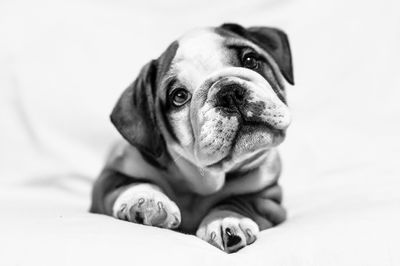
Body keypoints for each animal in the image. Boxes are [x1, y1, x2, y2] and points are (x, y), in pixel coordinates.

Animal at [90, 23, 294, 254]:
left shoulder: (268, 195)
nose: (228, 92)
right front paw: (146, 201)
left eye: (250, 60)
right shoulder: (109, 177)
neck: (201, 178)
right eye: (179, 96)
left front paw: (226, 219)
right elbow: (125, 183)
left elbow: (241, 200)